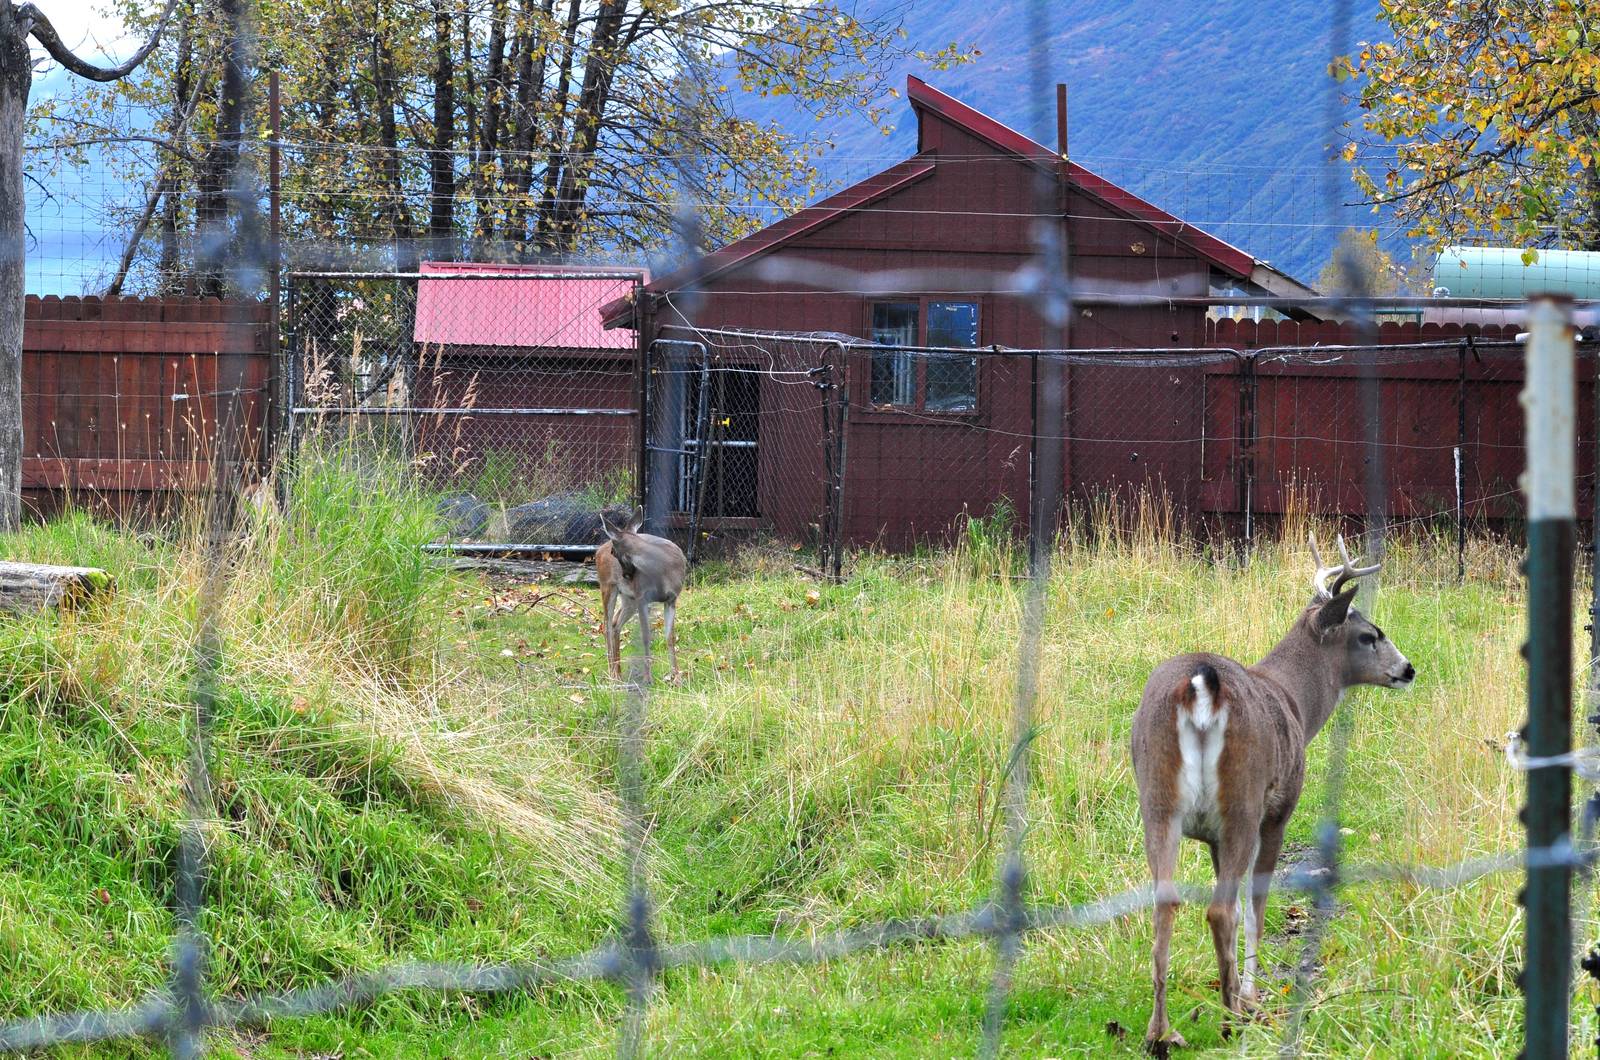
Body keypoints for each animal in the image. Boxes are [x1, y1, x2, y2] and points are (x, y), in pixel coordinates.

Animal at [595, 506, 686, 684]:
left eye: (613, 551)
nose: (627, 575)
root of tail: (598, 550)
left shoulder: (671, 599)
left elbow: (670, 637)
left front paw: (677, 677)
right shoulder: (642, 597)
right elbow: (646, 636)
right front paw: (647, 678)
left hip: (628, 598)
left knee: (615, 623)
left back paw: (619, 672)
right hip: (608, 585)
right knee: (607, 625)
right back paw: (612, 674)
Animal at [1130, 535, 1415, 1056]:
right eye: (1370, 635)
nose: (1407, 669)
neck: (1296, 702)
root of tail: (1201, 685)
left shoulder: (1212, 838)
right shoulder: (1278, 811)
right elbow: (1254, 907)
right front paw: (1250, 994)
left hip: (1156, 800)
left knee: (1166, 902)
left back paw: (1160, 1033)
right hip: (1241, 800)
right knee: (1220, 910)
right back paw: (1230, 1019)